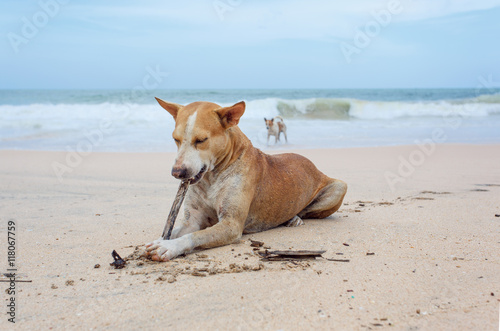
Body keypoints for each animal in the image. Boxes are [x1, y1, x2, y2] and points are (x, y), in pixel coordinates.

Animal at [145, 98, 348, 262]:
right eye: (175, 139)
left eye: (201, 140)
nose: (177, 172)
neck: (212, 177)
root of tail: (313, 164)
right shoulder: (192, 221)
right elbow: (177, 230)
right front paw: (159, 240)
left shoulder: (231, 225)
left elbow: (194, 236)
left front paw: (168, 247)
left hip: (339, 187)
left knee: (307, 210)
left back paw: (294, 218)